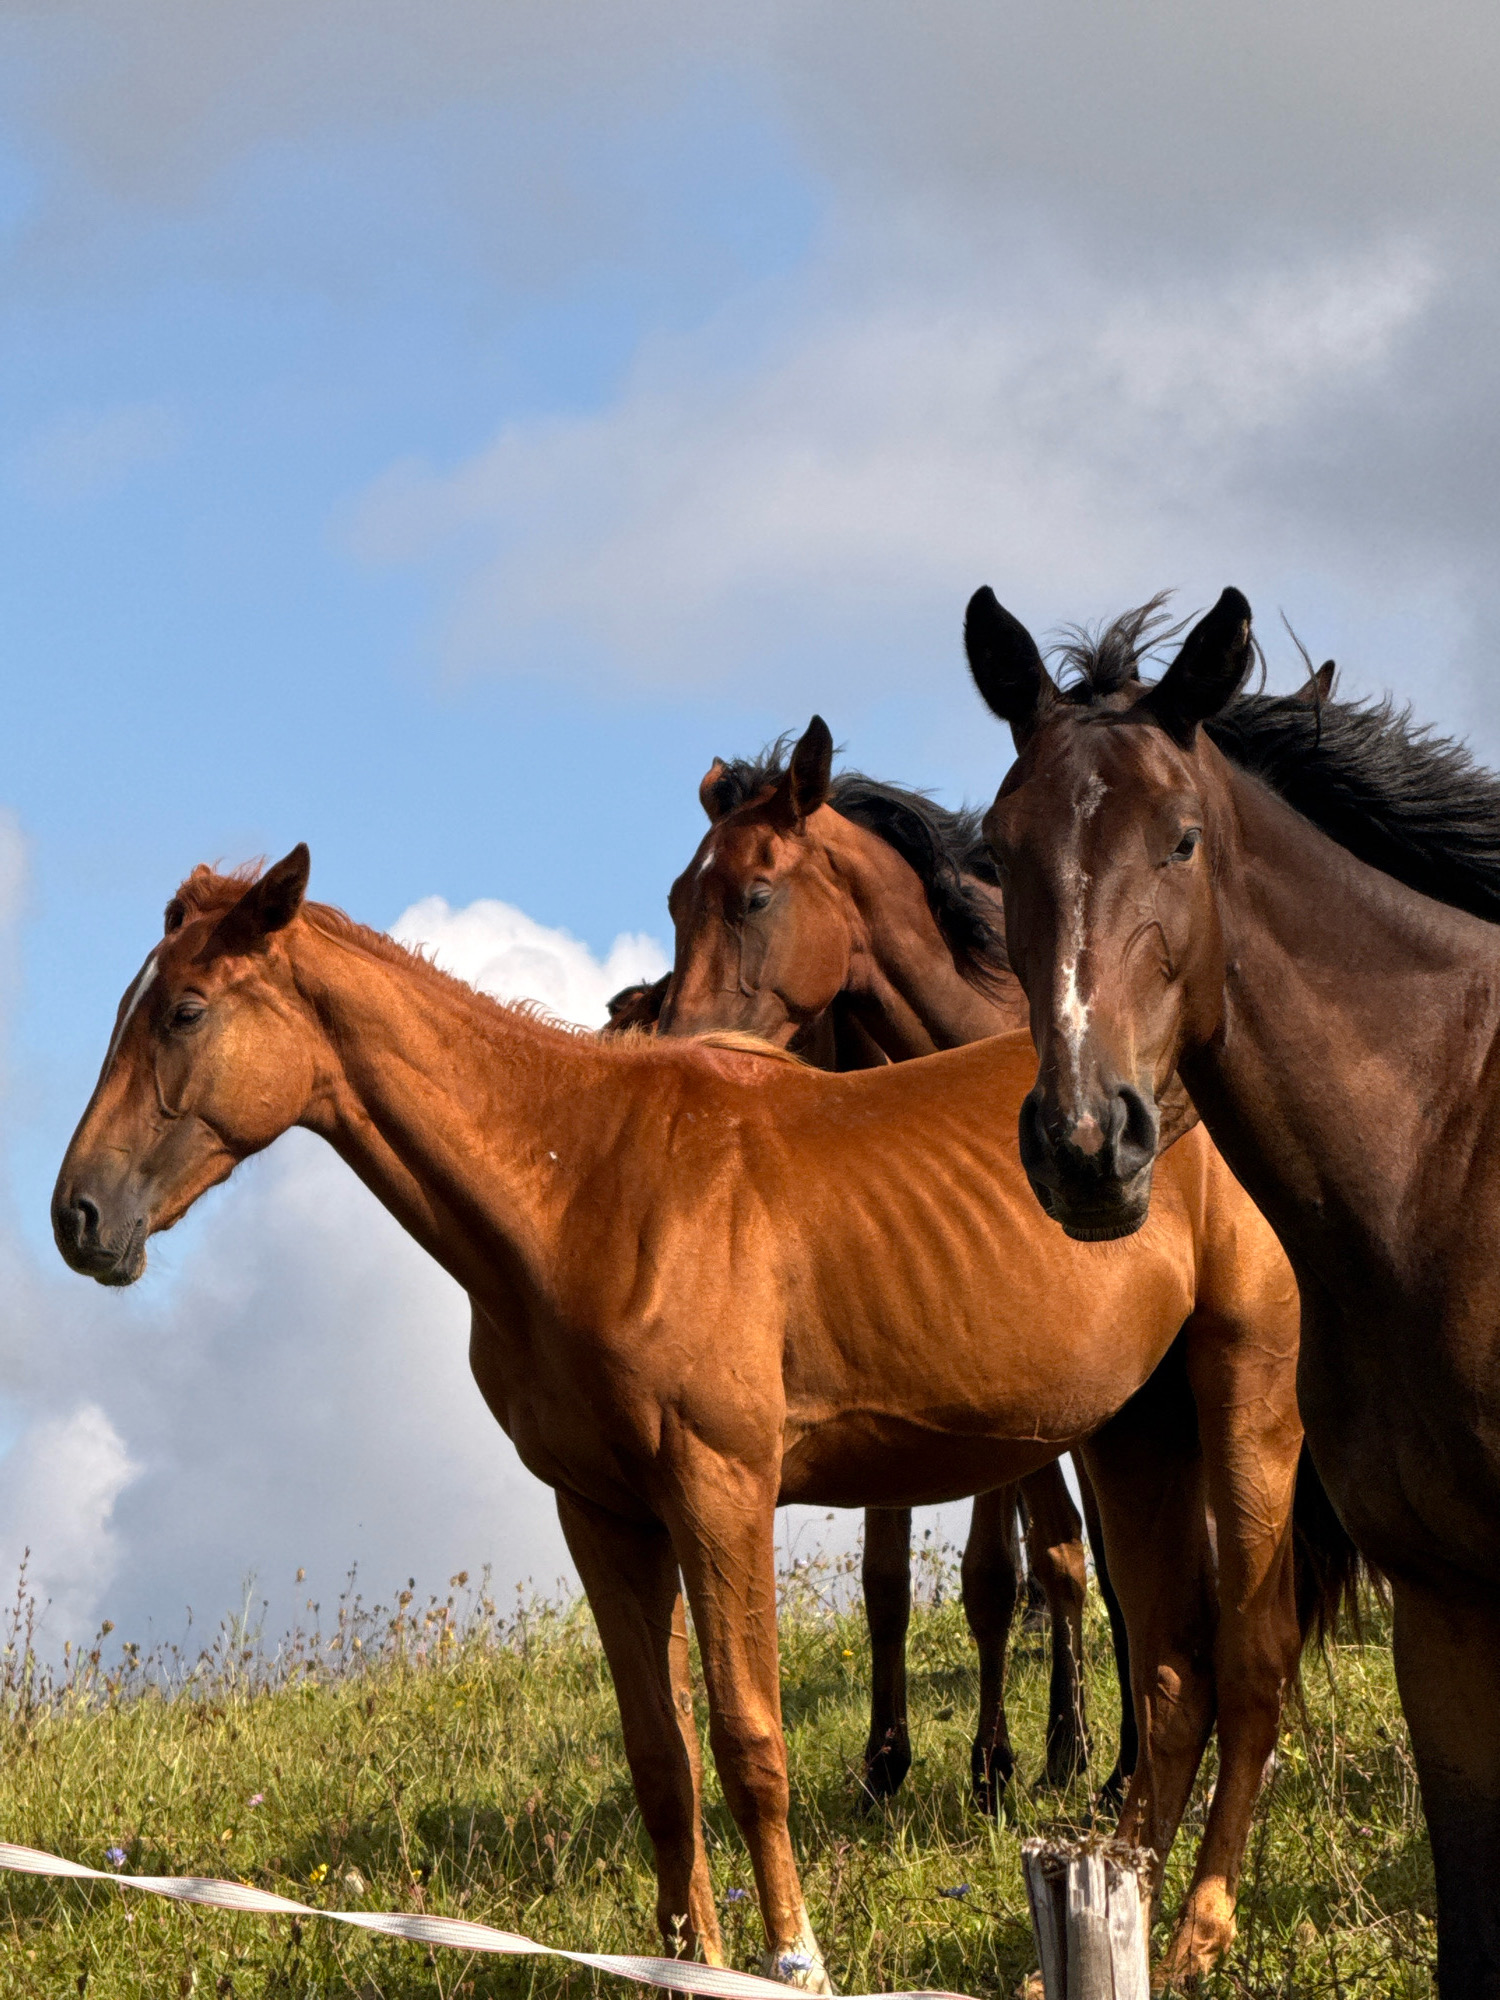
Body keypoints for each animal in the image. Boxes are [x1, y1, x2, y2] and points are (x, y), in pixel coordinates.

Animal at [52, 850, 1323, 1989]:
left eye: (185, 1008)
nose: (79, 1215)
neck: (583, 1183)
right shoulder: (604, 1511)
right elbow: (660, 1756)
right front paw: (686, 1959)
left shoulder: (721, 1489)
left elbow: (749, 1737)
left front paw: (793, 1954)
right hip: (1135, 1432)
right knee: (1174, 1674)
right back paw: (1122, 1907)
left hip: (1244, 1397)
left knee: (1250, 1657)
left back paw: (1197, 1933)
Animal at [652, 724, 1131, 1812]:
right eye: (674, 899)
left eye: (754, 894)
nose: (681, 1053)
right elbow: (889, 1574)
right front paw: (887, 1759)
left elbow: (1007, 1568)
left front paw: (1004, 1761)